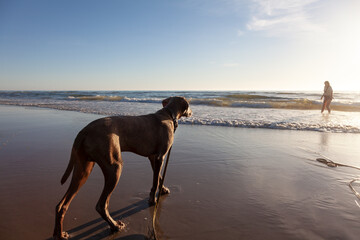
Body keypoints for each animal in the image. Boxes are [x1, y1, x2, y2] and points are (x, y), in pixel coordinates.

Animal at [52, 96, 191, 239]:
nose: (191, 112)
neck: (168, 114)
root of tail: (84, 131)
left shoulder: (153, 158)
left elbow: (159, 177)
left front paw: (163, 189)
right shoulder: (160, 157)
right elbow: (155, 182)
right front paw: (152, 200)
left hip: (83, 168)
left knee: (62, 205)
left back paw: (60, 234)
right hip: (114, 167)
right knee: (101, 205)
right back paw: (114, 226)